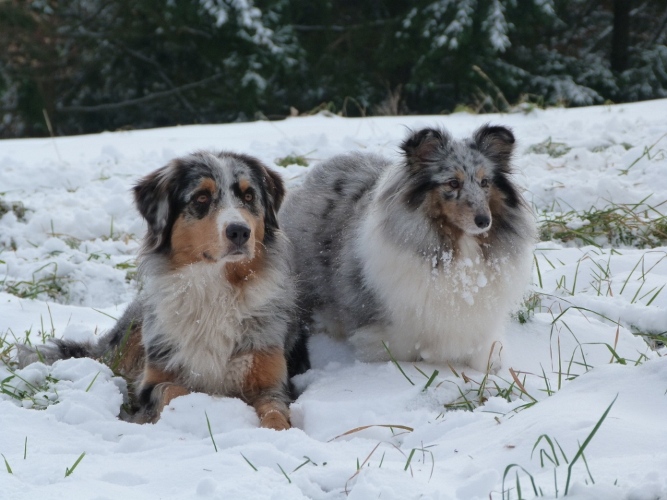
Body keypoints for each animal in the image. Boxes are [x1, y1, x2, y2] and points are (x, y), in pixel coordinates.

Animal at [18, 152, 310, 430]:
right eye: (202, 197)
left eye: (249, 196)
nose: (239, 231)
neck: (215, 288)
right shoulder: (154, 379)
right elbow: (173, 391)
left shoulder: (272, 380)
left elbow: (275, 413)